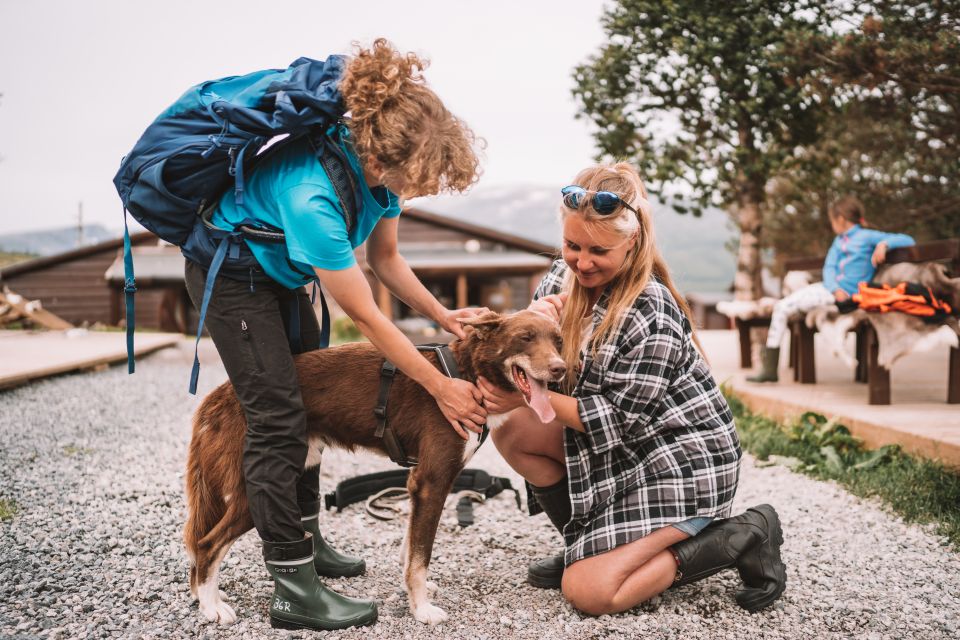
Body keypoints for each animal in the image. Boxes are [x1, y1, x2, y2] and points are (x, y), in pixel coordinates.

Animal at [184, 310, 568, 624]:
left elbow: (411, 548)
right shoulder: (432, 482)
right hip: (255, 489)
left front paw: (414, 592)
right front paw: (422, 609)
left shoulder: (417, 485)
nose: (560, 368)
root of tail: (221, 395)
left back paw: (205, 596)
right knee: (207, 543)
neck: (466, 373)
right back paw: (211, 606)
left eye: (558, 341)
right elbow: (421, 554)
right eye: (525, 337)